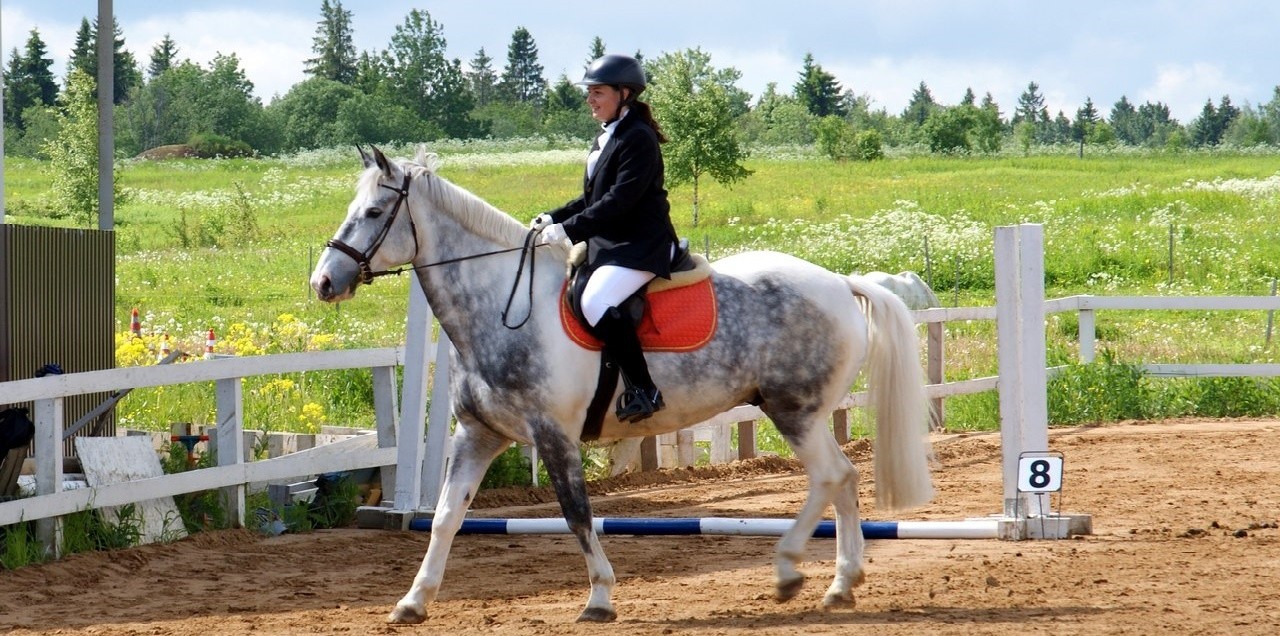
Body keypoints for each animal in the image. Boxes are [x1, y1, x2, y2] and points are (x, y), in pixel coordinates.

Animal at [309, 146, 931, 621]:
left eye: (373, 212)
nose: (323, 282)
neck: (499, 307)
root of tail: (841, 282)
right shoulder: (478, 435)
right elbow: (444, 518)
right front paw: (413, 602)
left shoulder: (553, 435)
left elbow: (577, 514)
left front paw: (600, 598)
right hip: (804, 412)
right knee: (844, 479)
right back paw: (840, 584)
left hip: (794, 411)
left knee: (830, 477)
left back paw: (787, 572)